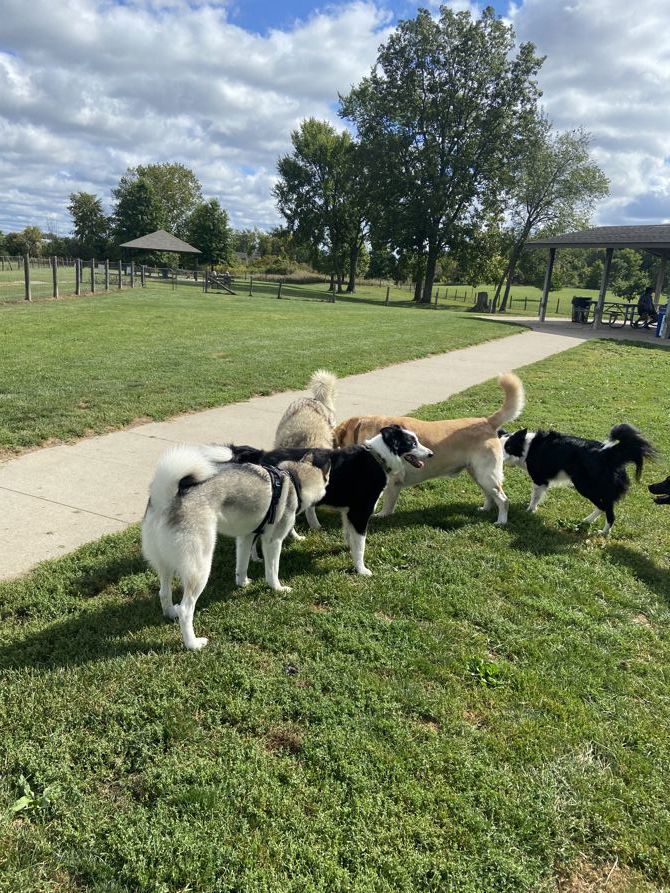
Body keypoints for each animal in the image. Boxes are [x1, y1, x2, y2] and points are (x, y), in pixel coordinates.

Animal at [334, 372, 524, 524]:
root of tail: (486, 421)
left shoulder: (394, 481)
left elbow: (387, 504)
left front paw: (381, 515)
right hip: (478, 474)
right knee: (490, 496)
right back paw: (485, 509)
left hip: (487, 475)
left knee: (503, 499)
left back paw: (501, 521)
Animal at [504, 422, 656, 532]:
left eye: (508, 447)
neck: (527, 447)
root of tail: (607, 454)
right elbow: (538, 496)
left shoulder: (539, 479)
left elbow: (534, 497)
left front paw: (529, 510)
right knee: (604, 508)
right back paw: (588, 521)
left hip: (585, 486)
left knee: (607, 511)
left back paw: (603, 533)